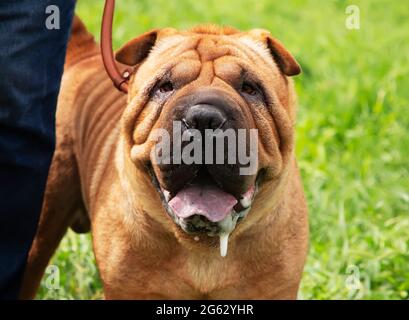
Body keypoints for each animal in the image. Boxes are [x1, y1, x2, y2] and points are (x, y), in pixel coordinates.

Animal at [19, 15, 306, 300]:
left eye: (250, 88)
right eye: (165, 86)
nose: (204, 118)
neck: (204, 251)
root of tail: (84, 56)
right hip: (42, 226)